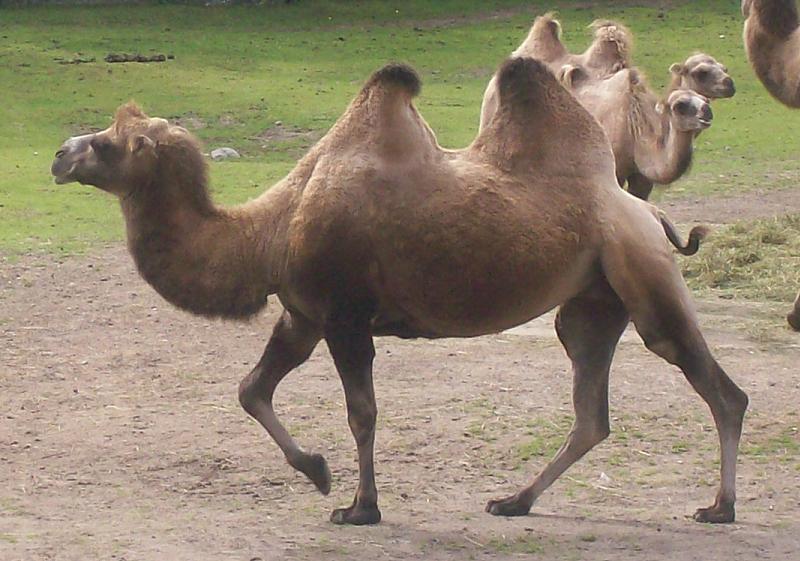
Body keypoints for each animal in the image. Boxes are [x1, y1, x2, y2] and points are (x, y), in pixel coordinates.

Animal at [52, 58, 748, 526]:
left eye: (109, 144)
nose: (60, 155)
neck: (272, 231)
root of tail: (645, 211)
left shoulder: (345, 315)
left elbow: (362, 413)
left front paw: (360, 507)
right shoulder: (303, 316)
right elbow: (252, 390)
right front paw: (319, 473)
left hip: (642, 275)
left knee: (720, 390)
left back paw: (718, 507)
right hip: (593, 304)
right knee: (591, 412)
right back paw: (513, 500)